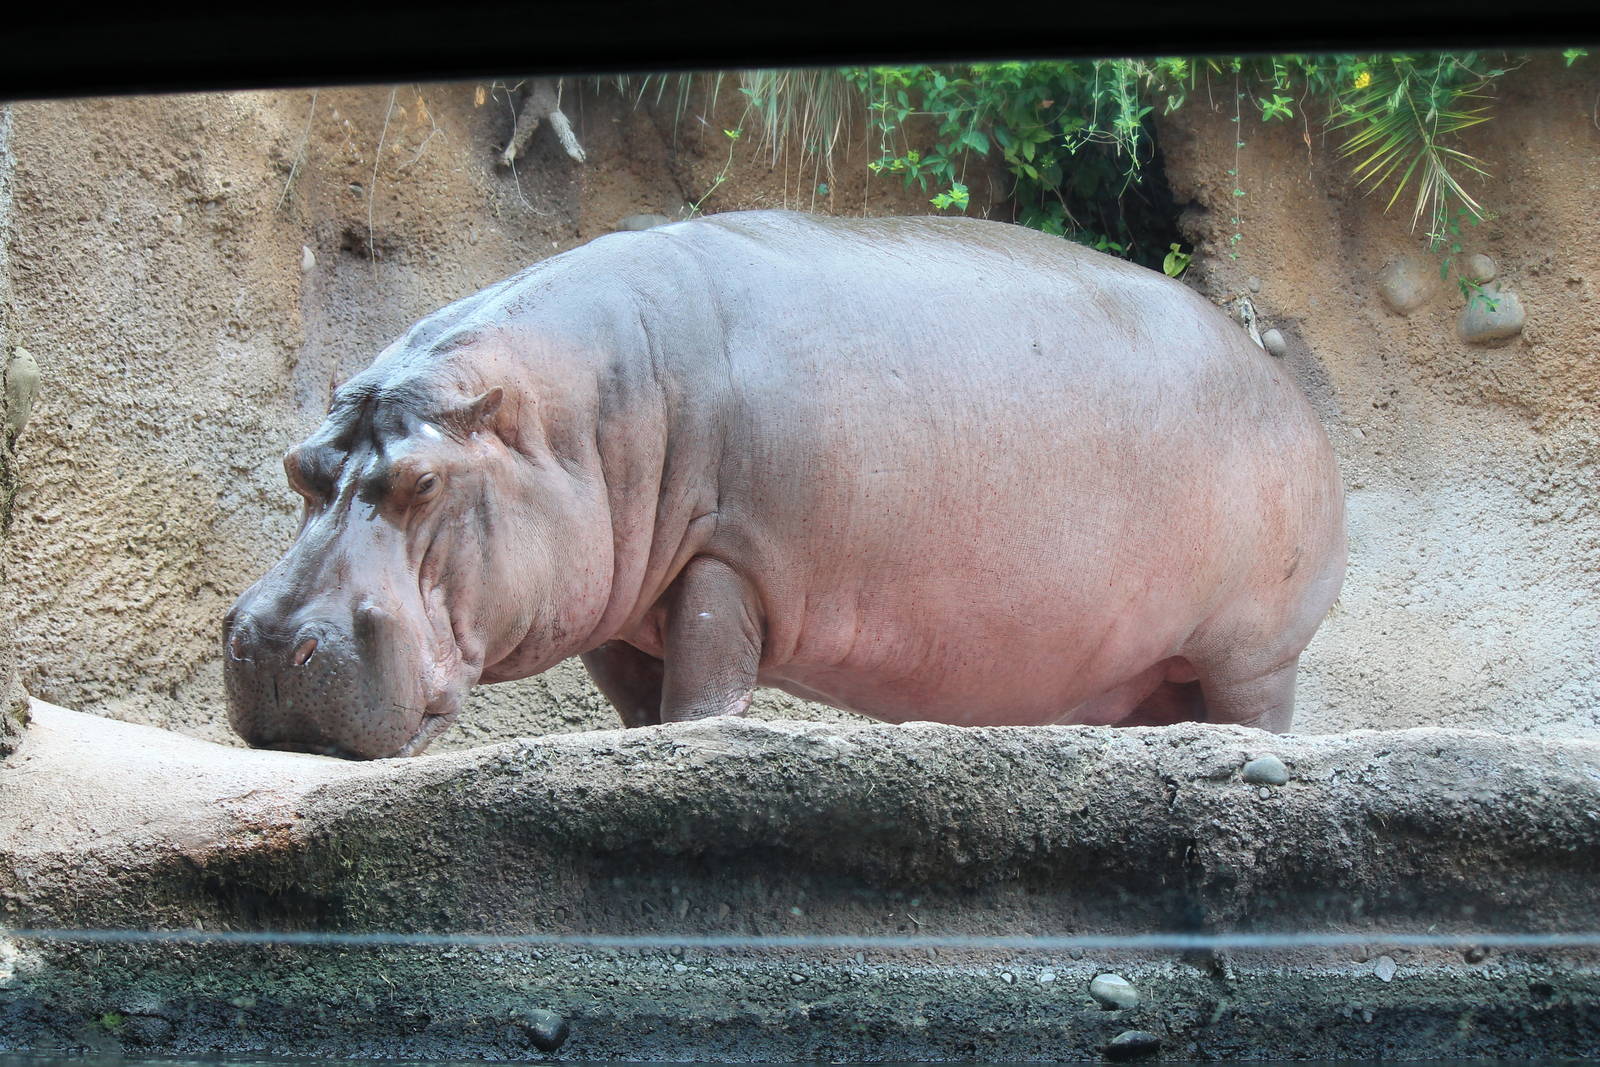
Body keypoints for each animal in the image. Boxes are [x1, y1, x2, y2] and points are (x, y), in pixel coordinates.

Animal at [224, 210, 1346, 759]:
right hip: (1145, 671)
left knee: (1255, 719)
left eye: (421, 481)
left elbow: (705, 686)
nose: (272, 641)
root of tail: (1287, 392)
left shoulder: (727, 557)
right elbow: (640, 705)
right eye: (299, 465)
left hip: (1251, 651)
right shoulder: (619, 604)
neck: (576, 417)